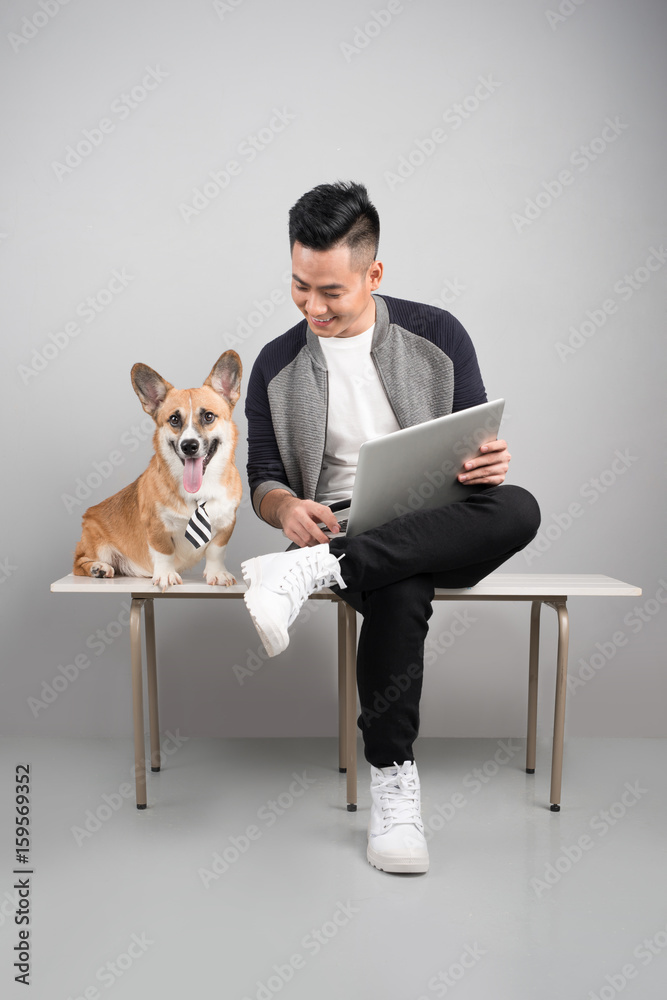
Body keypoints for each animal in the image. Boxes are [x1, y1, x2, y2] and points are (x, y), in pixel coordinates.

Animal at [72, 352, 243, 588]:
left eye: (208, 416)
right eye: (174, 419)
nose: (189, 446)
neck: (199, 490)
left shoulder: (227, 524)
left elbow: (216, 551)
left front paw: (217, 573)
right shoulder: (155, 526)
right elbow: (164, 552)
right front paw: (166, 575)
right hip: (96, 544)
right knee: (78, 562)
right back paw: (98, 568)